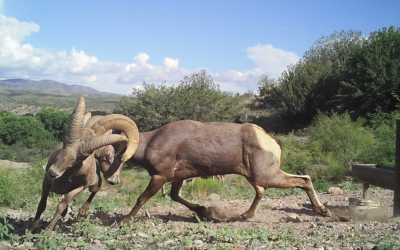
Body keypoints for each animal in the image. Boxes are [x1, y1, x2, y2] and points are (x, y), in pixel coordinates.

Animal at [29, 96, 139, 233]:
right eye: (64, 141)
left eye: (84, 156)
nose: (53, 172)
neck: (67, 176)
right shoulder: (46, 181)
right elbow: (42, 205)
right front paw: (30, 232)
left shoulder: (81, 186)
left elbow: (61, 205)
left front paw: (46, 233)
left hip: (95, 184)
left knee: (93, 191)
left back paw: (82, 212)